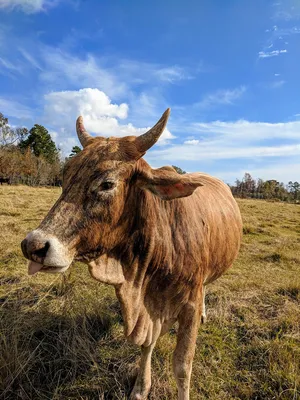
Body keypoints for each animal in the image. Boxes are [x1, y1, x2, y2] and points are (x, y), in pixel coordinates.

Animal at [21, 108, 243, 398]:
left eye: (107, 184)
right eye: (65, 178)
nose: (33, 245)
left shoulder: (189, 307)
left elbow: (182, 367)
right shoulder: (146, 309)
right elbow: (147, 345)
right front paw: (140, 387)